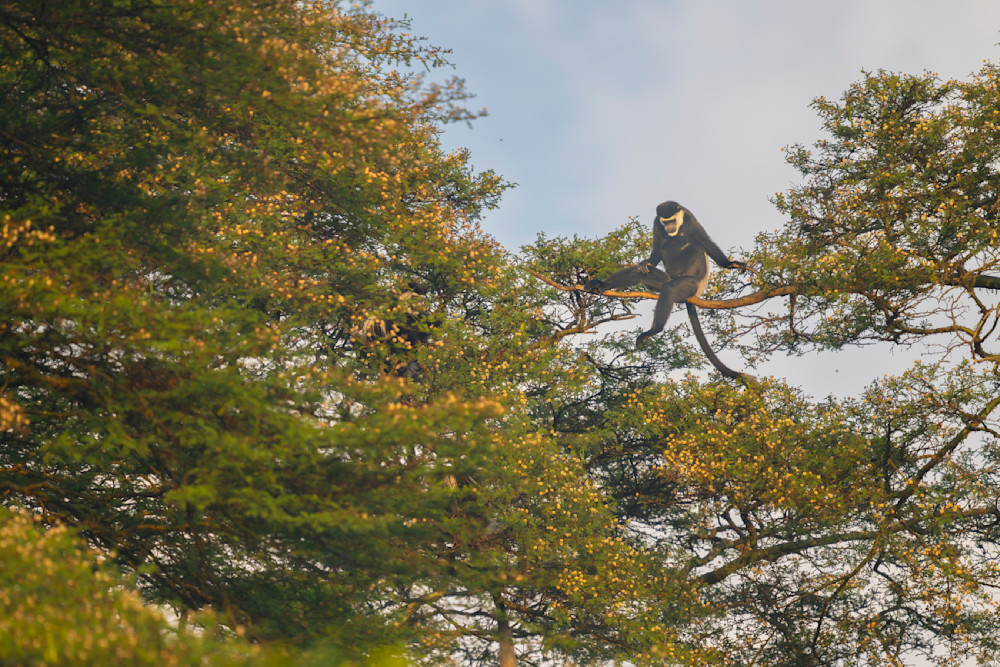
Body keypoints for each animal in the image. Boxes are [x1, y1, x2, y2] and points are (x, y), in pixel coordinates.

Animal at [585, 201, 750, 380]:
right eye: (666, 222)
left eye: (672, 221)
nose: (670, 228)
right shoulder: (657, 223)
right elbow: (656, 248)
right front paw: (647, 262)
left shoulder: (689, 218)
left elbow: (705, 241)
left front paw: (731, 264)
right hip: (665, 278)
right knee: (641, 271)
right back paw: (601, 285)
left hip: (689, 284)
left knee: (672, 285)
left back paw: (654, 330)